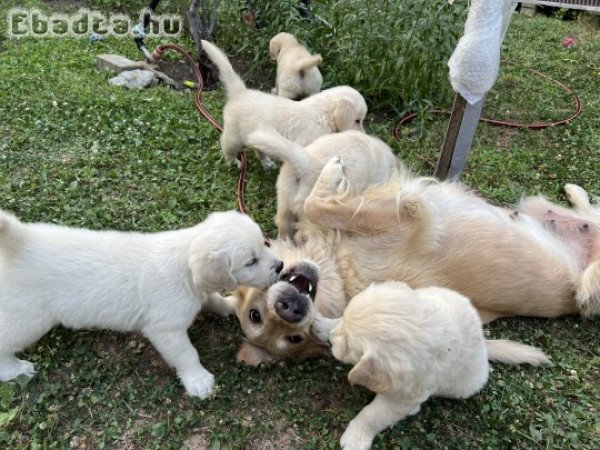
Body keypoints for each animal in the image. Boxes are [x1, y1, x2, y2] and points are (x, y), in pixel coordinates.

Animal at [0, 209, 284, 400]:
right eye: (250, 261)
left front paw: (227, 305)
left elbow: (212, 299)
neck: (184, 267)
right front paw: (198, 380)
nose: (280, 266)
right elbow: (186, 353)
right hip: (29, 320)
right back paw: (15, 369)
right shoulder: (165, 329)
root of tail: (21, 243)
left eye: (264, 243)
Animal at [200, 38, 366, 168]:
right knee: (226, 147)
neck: (323, 115)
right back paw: (235, 163)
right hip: (234, 137)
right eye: (357, 120)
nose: (364, 135)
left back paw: (267, 163)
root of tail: (240, 92)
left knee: (258, 149)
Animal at [312, 282, 552, 450]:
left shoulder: (402, 397)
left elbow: (373, 415)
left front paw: (356, 436)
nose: (331, 341)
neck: (423, 331)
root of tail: (485, 346)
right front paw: (324, 324)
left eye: (349, 345)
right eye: (344, 319)